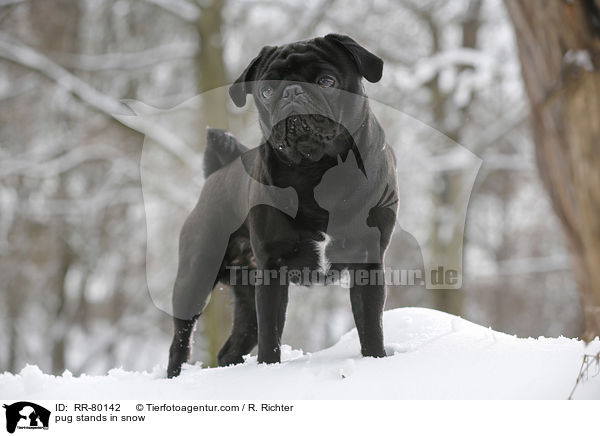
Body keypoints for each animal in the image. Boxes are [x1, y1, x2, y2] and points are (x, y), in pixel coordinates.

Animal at [166, 34, 396, 376]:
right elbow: (270, 335)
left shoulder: (367, 262)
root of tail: (216, 173)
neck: (317, 170)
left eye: (327, 81)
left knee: (231, 347)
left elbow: (370, 326)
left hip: (244, 296)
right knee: (180, 342)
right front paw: (269, 369)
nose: (291, 92)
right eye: (266, 91)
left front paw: (375, 361)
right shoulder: (272, 270)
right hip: (196, 278)